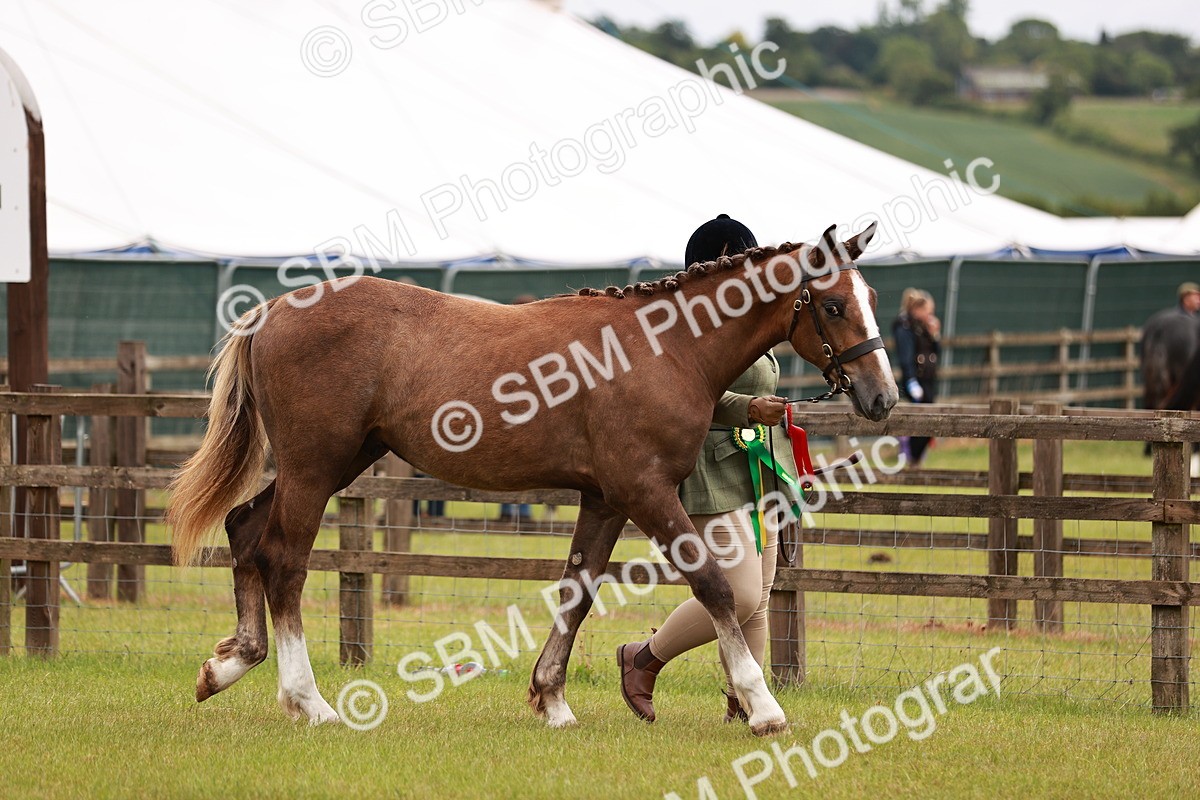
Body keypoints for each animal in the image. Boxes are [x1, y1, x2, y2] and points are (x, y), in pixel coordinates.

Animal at [166, 223, 898, 736]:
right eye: (834, 306)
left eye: (871, 298)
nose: (882, 397)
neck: (664, 349)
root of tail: (273, 310)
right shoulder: (646, 492)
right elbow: (715, 588)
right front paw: (764, 705)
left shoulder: (605, 499)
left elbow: (577, 592)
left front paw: (552, 700)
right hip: (315, 467)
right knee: (283, 560)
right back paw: (309, 702)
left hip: (333, 462)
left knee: (244, 532)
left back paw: (229, 665)